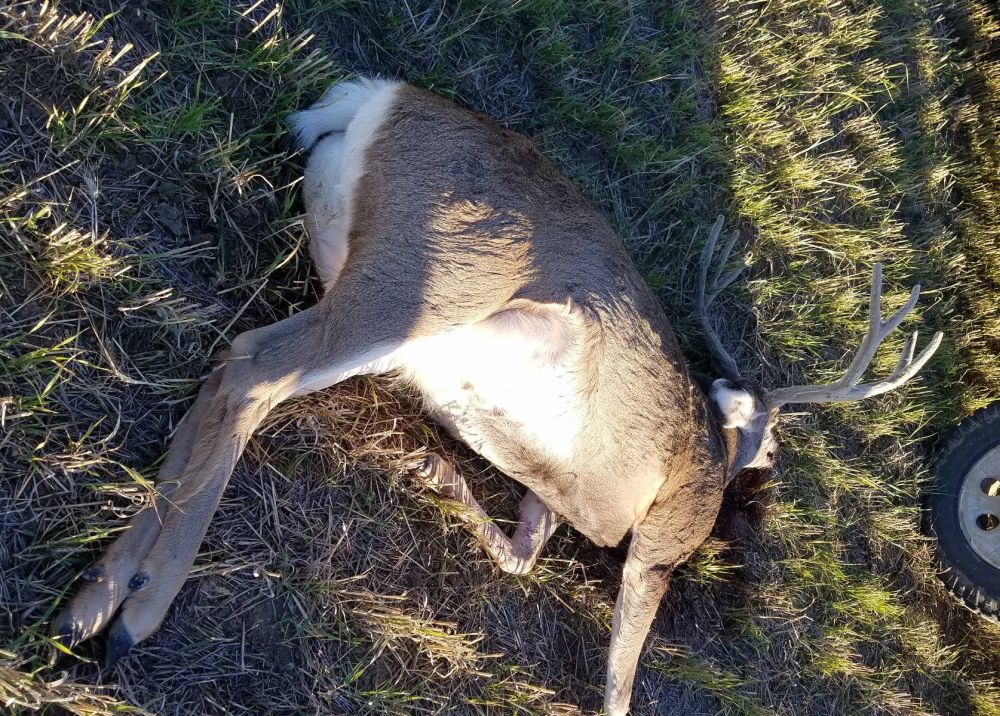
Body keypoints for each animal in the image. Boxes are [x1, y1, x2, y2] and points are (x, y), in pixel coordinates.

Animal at [51, 77, 942, 715]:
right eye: (771, 441)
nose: (771, 469)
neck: (711, 448)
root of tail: (375, 97)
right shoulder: (664, 533)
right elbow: (620, 683)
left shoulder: (550, 494)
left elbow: (521, 554)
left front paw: (435, 476)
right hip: (427, 284)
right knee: (251, 368)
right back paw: (131, 614)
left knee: (230, 373)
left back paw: (93, 601)